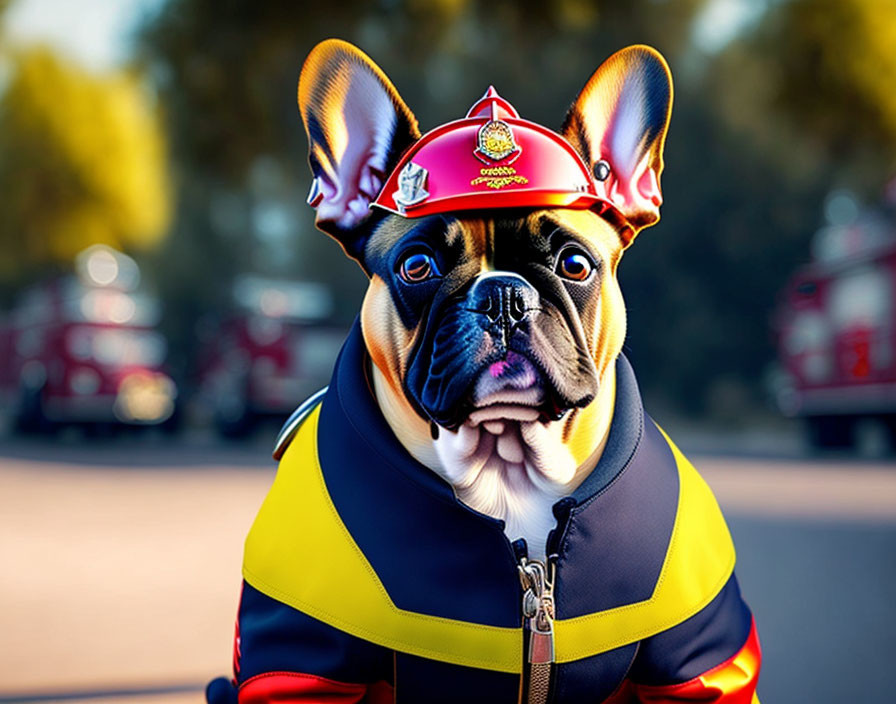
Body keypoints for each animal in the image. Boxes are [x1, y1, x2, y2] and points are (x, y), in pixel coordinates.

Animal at [205, 37, 764, 704]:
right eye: (417, 266)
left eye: (575, 263)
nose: (503, 295)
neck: (508, 465)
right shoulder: (304, 668)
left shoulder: (698, 663)